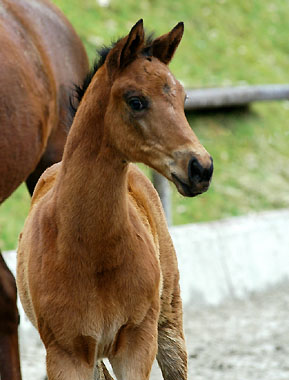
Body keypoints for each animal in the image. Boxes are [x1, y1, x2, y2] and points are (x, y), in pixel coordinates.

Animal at [17, 20, 212, 380]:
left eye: (183, 97)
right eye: (136, 101)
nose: (200, 167)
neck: (93, 252)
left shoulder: (137, 344)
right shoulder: (66, 354)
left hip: (168, 324)